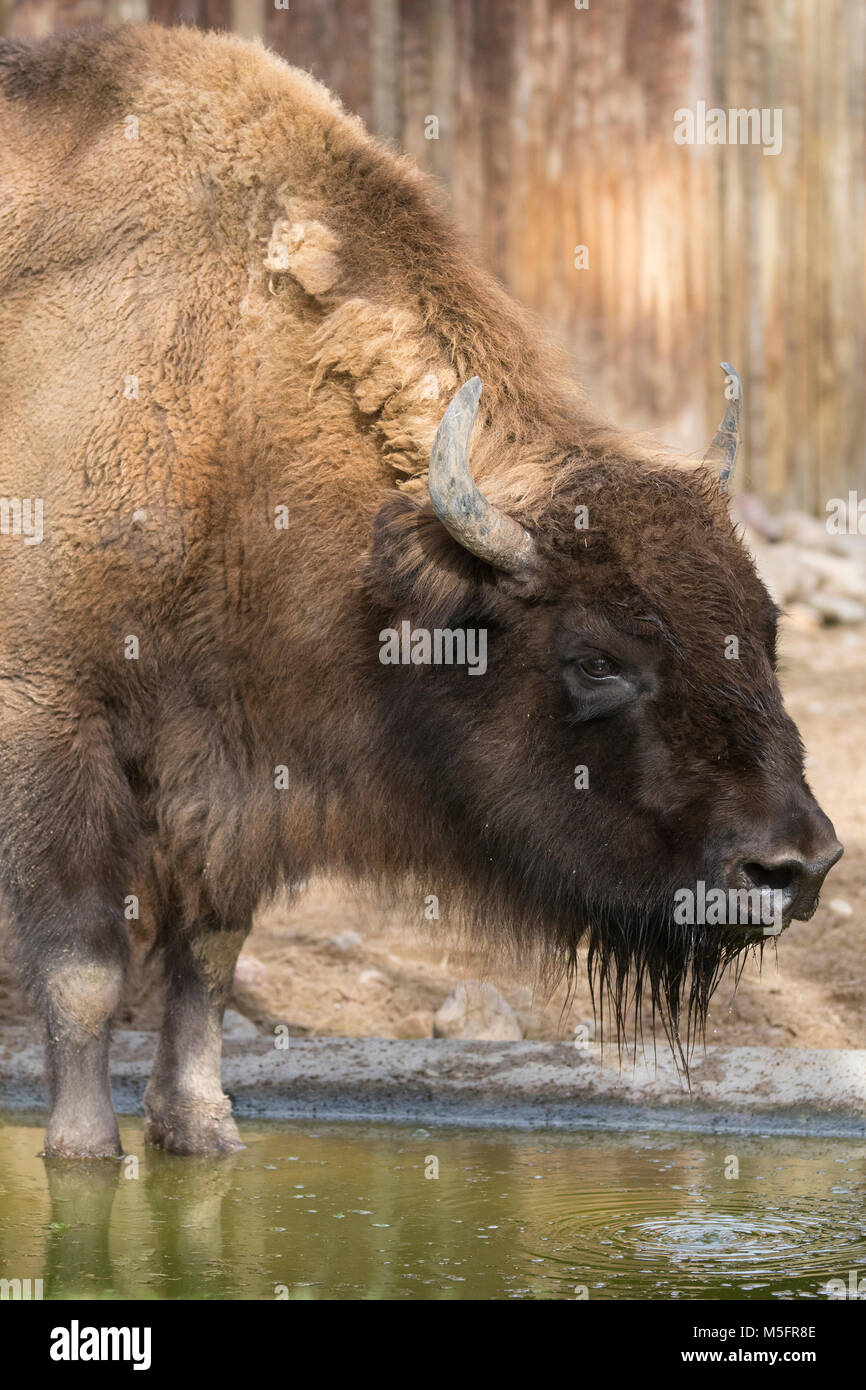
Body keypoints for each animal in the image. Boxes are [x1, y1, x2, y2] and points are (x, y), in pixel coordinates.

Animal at [0, 27, 839, 1150]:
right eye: (594, 659)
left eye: (765, 629)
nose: (793, 867)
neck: (228, 396)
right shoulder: (52, 719)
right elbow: (84, 967)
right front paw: (87, 1151)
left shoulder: (228, 777)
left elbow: (205, 959)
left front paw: (203, 1130)